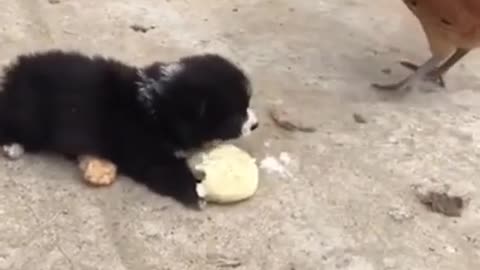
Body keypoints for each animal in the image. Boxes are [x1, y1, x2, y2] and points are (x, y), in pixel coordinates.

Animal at [0, 50, 258, 209]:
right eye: (236, 114)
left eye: (247, 104)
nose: (255, 125)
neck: (161, 106)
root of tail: (15, 75)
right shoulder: (150, 154)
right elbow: (170, 171)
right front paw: (196, 194)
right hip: (31, 117)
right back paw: (12, 146)